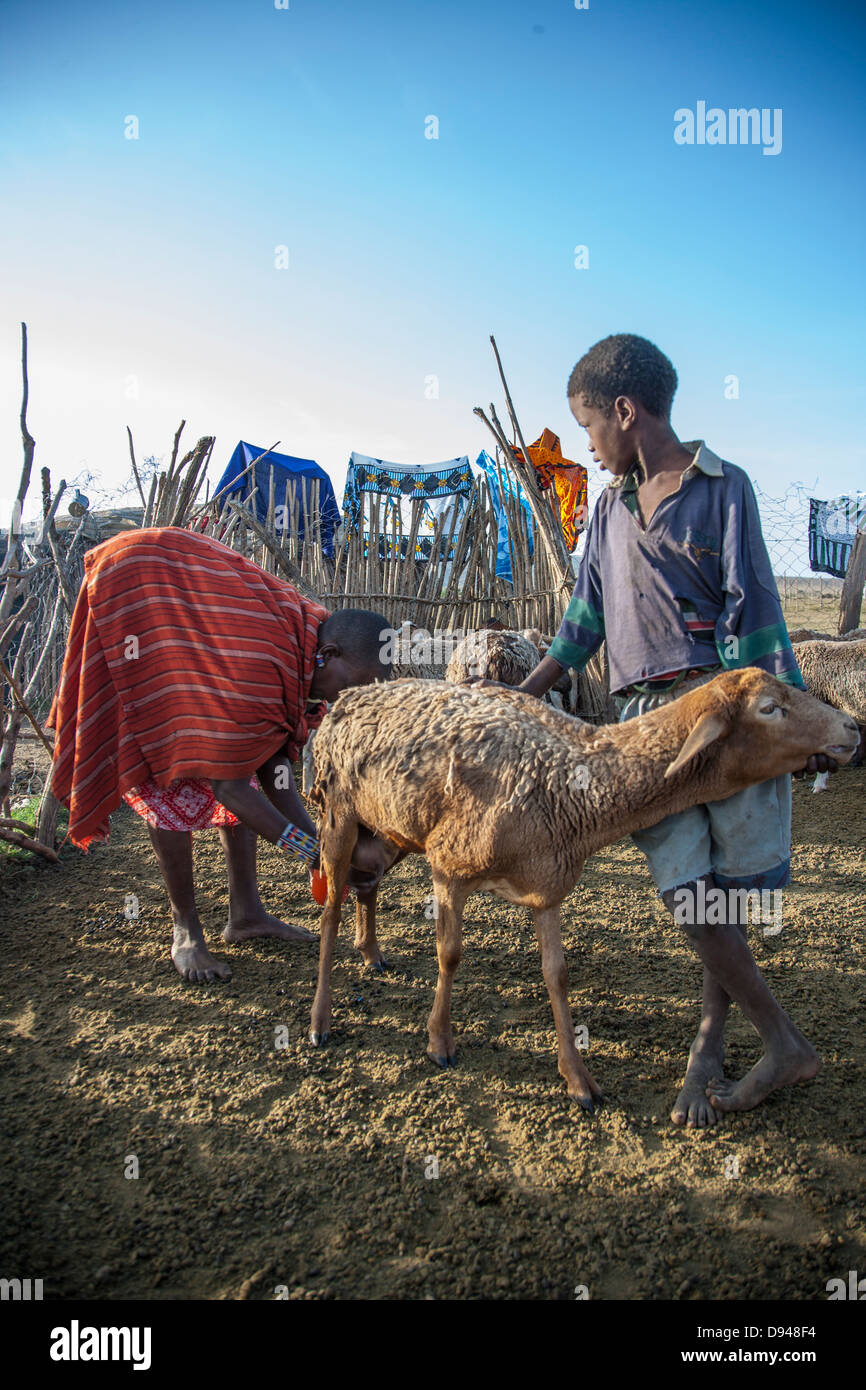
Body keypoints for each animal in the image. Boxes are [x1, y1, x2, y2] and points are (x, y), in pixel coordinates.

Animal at [307, 667, 861, 1112]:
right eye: (769, 708)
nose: (852, 728)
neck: (568, 785)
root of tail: (352, 694)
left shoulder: (547, 886)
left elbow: (557, 975)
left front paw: (578, 1080)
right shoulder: (449, 866)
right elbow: (450, 954)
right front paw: (440, 1042)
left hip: (391, 827)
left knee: (366, 883)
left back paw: (370, 951)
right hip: (339, 814)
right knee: (331, 906)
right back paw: (319, 1020)